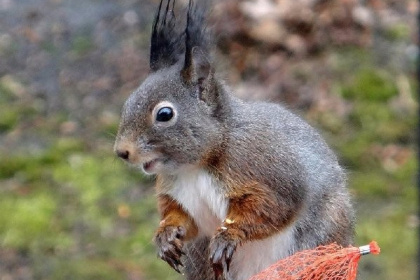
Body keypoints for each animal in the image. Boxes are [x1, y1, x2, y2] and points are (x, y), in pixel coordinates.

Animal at [114, 0, 354, 280]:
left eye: (164, 114)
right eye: (128, 102)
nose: (122, 151)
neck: (195, 167)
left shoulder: (266, 170)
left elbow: (274, 208)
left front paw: (229, 235)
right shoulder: (177, 193)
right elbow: (183, 219)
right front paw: (165, 235)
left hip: (320, 235)